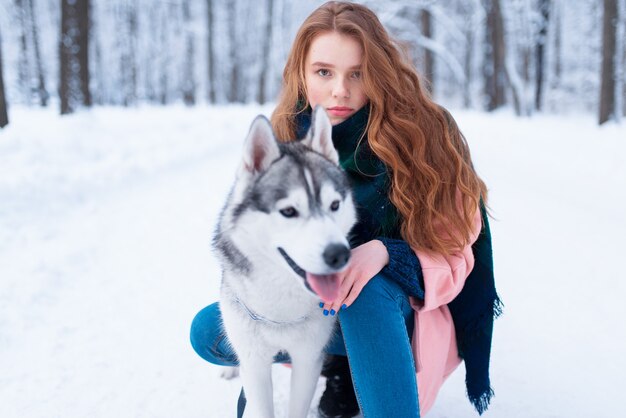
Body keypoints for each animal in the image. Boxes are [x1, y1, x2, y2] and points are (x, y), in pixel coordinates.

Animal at [213, 106, 356, 416]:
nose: (339, 254)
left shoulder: (308, 357)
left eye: (335, 205)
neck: (281, 311)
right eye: (289, 211)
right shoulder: (254, 361)